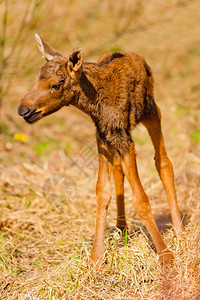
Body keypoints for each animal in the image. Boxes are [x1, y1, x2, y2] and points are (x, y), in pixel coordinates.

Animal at [18, 34, 184, 270]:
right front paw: (96, 257)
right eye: (35, 80)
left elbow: (141, 199)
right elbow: (102, 192)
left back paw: (180, 231)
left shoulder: (124, 139)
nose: (24, 110)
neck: (93, 104)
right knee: (119, 171)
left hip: (152, 112)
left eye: (56, 85)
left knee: (163, 162)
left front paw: (165, 255)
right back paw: (121, 227)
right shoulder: (103, 137)